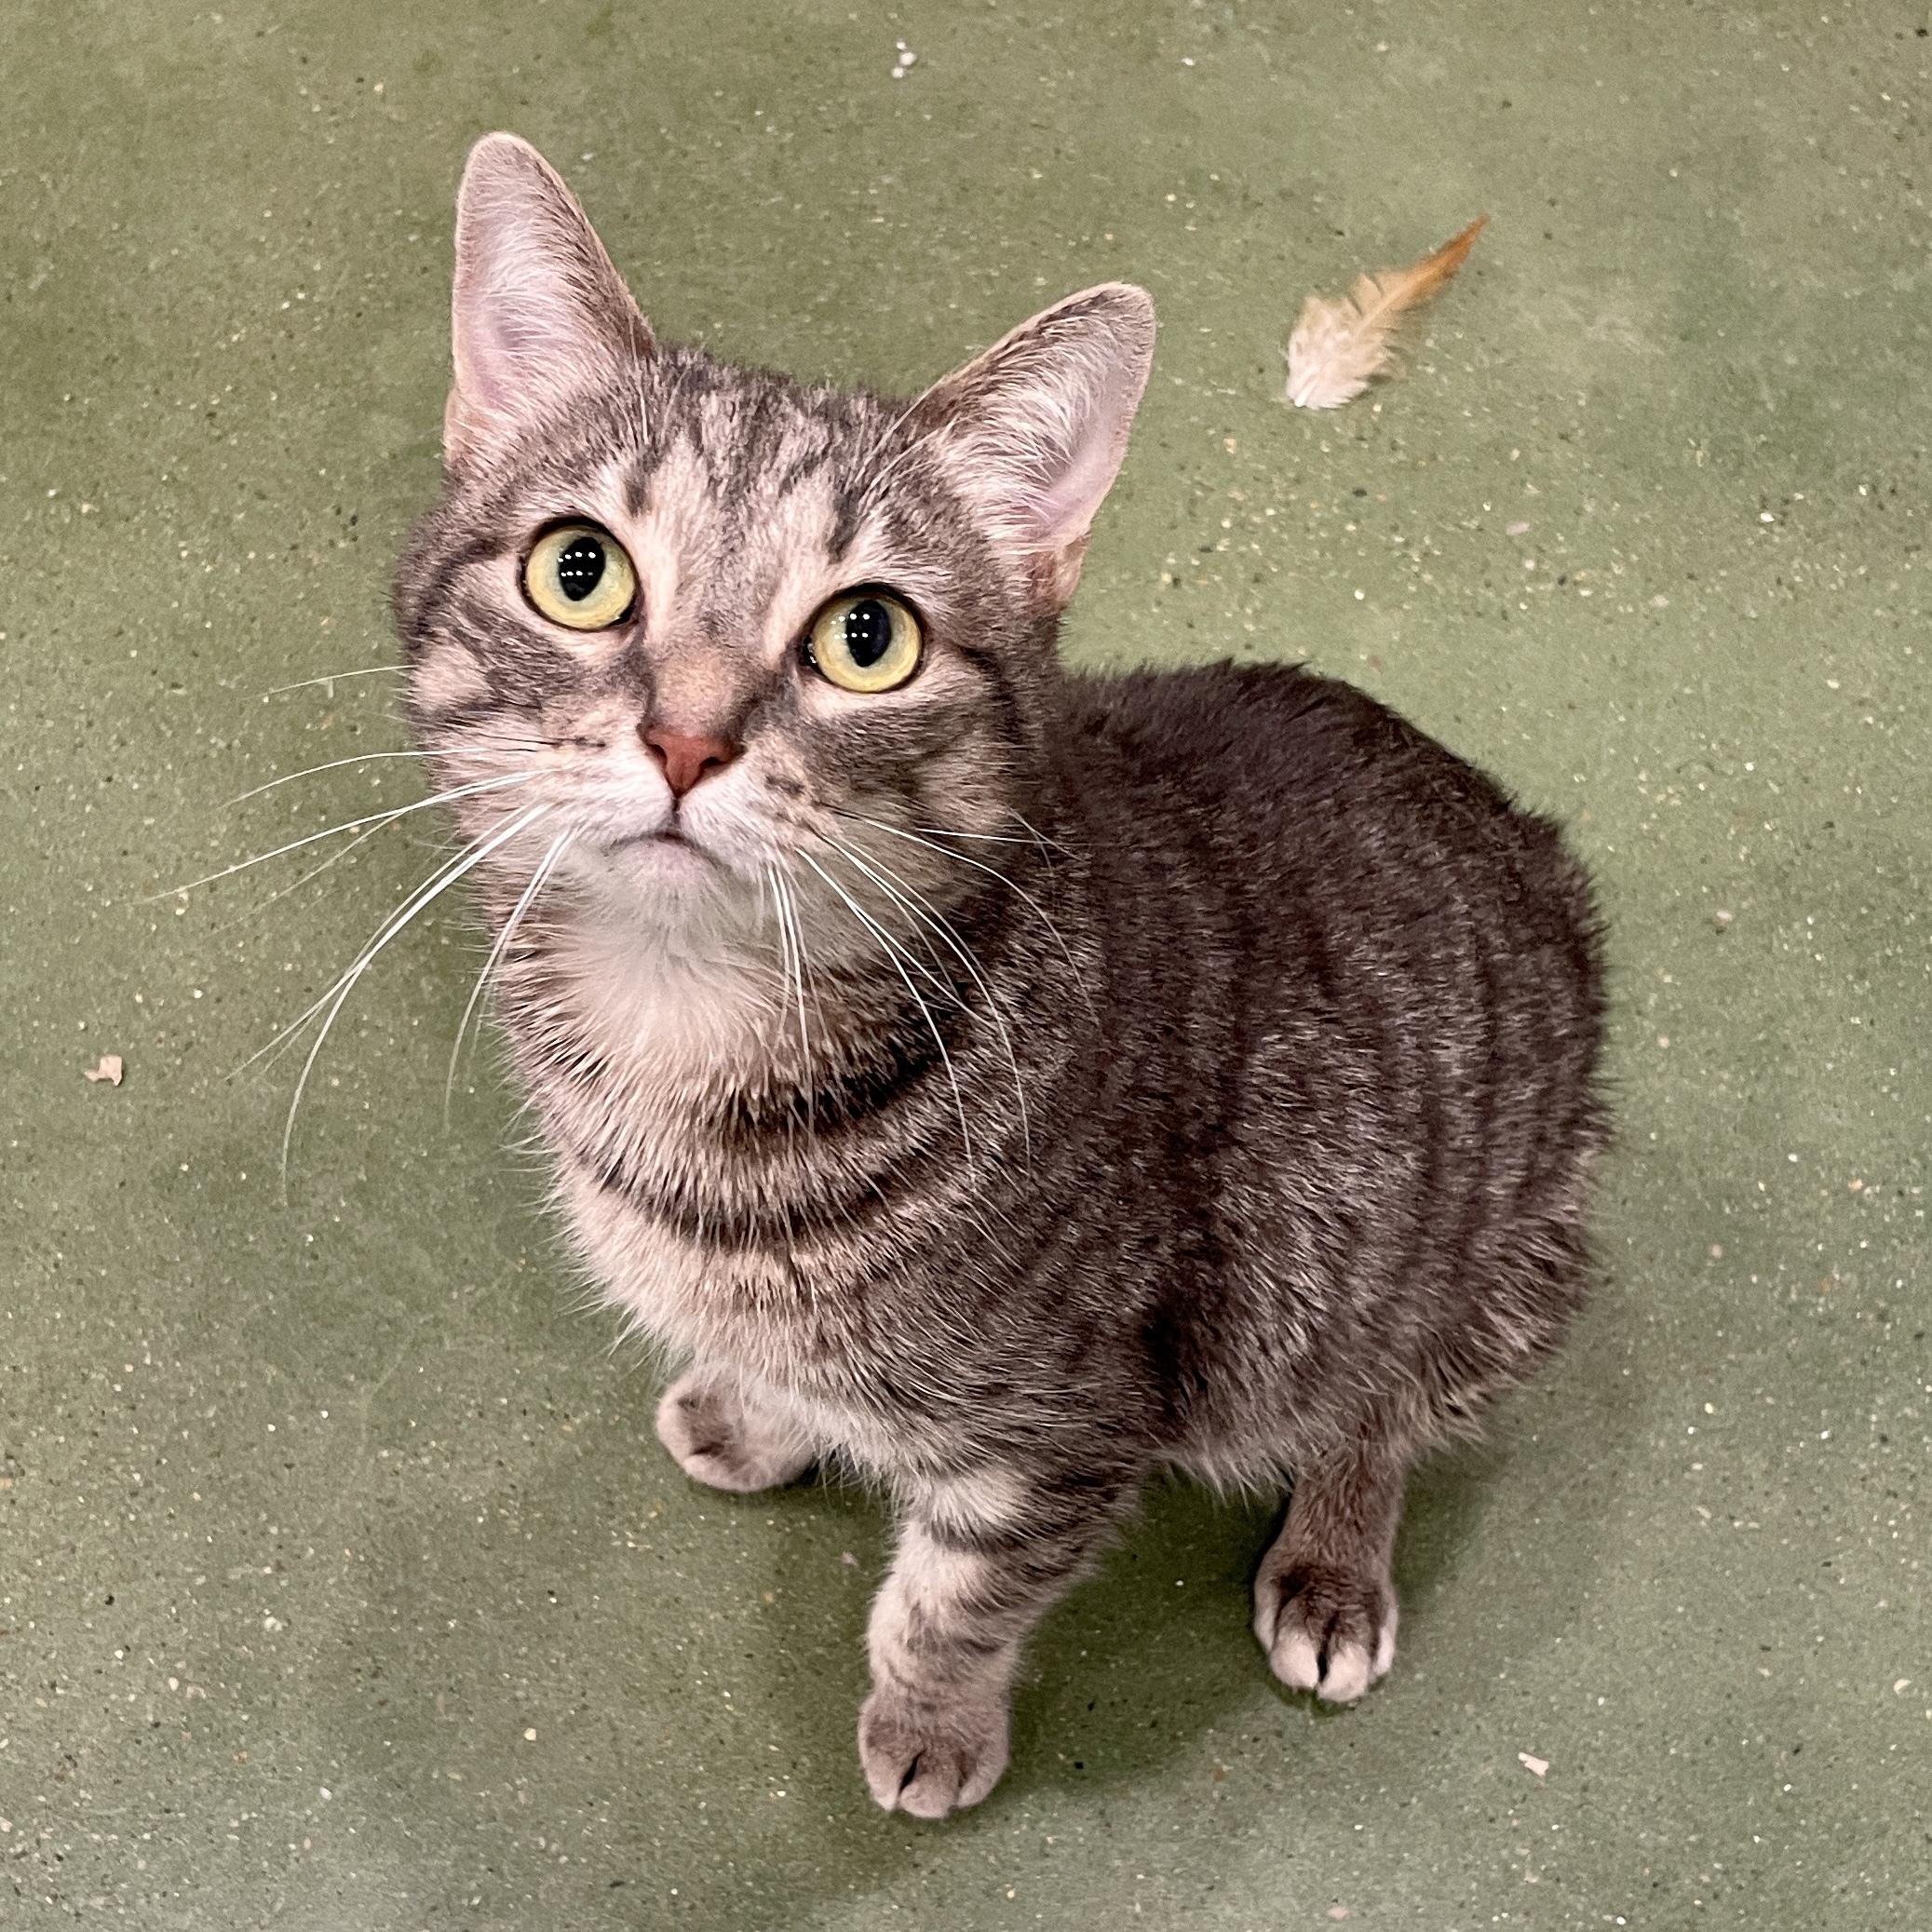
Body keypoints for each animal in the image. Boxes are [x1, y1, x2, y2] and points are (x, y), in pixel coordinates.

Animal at [388, 132, 1600, 1808]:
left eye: (867, 638)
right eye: (581, 573)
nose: (686, 738)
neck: (688, 1034)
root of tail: (1530, 844)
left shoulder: (1059, 1425)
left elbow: (950, 1602)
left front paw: (931, 1725)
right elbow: (784, 1368)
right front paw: (761, 1408)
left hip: (1473, 1270)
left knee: (1381, 1403)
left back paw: (1334, 1558)